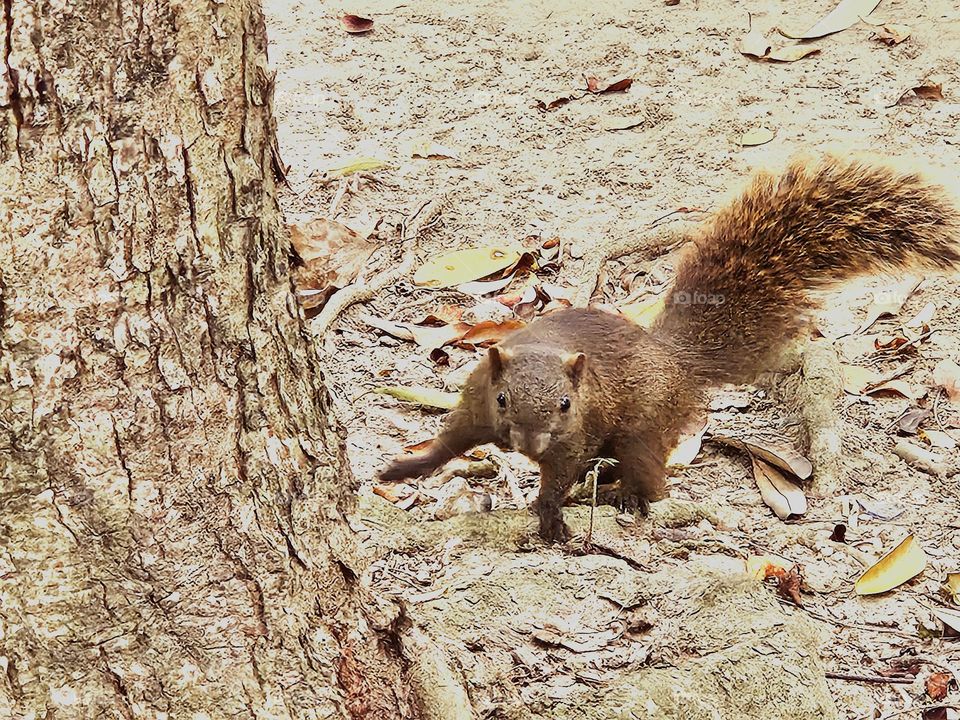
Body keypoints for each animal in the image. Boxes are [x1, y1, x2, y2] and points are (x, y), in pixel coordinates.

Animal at [380, 155, 960, 543]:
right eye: (504, 400)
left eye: (566, 404)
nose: (530, 443)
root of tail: (676, 361)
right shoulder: (477, 400)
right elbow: (450, 441)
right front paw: (403, 469)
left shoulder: (576, 433)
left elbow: (558, 476)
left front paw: (550, 513)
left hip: (644, 426)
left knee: (650, 473)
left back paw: (627, 495)